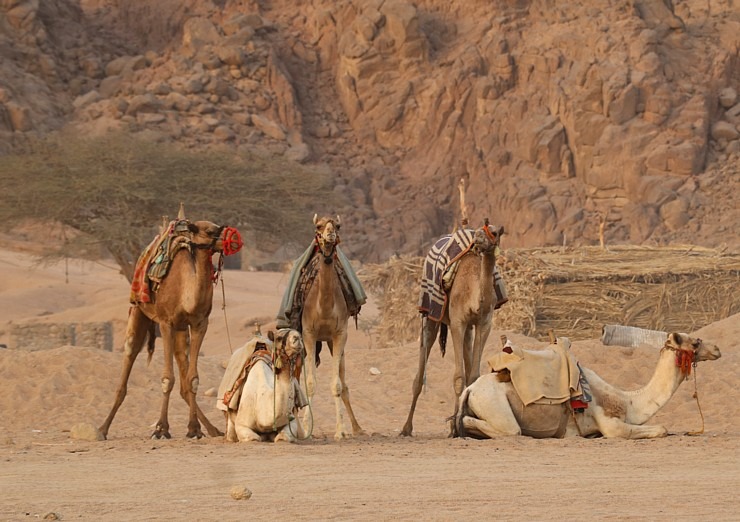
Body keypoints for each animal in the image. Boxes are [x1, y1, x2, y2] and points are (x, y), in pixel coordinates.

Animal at [98, 208, 241, 438]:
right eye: (210, 231)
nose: (235, 238)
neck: (186, 290)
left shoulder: (200, 324)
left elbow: (193, 379)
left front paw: (193, 429)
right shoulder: (166, 323)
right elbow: (167, 379)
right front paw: (161, 428)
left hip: (181, 331)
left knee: (183, 375)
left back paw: (210, 429)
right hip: (139, 312)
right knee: (129, 356)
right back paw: (102, 428)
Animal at [398, 221, 502, 436]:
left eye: (495, 232)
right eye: (482, 229)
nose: (478, 239)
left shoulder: (484, 323)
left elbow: (473, 376)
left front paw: (461, 425)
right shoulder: (457, 322)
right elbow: (458, 377)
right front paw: (455, 429)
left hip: (469, 329)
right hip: (430, 316)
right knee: (419, 376)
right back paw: (406, 428)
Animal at [456, 332, 724, 436]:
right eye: (695, 342)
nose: (717, 349)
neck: (628, 401)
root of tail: (470, 389)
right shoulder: (610, 423)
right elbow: (661, 428)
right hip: (494, 405)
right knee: (505, 428)